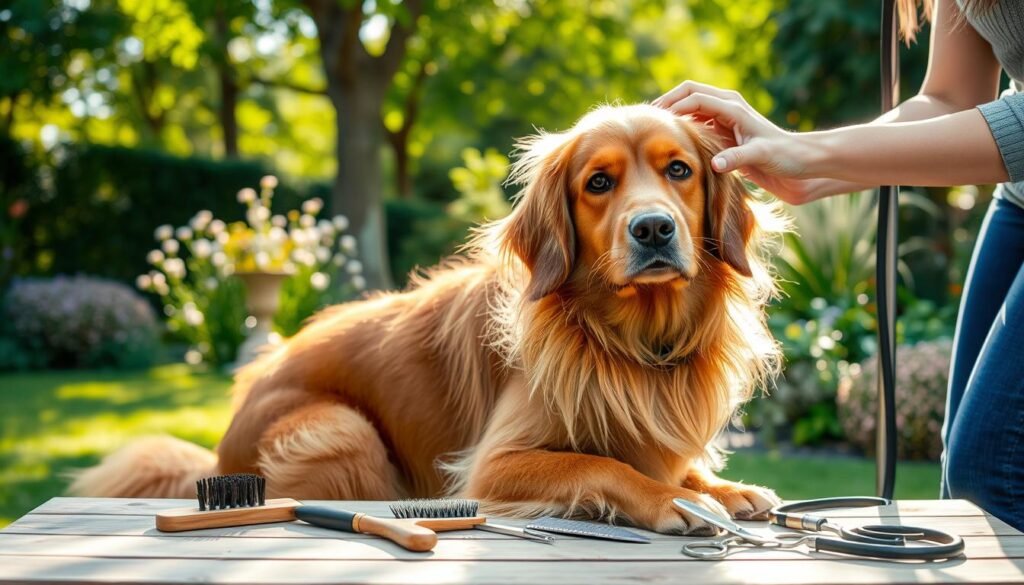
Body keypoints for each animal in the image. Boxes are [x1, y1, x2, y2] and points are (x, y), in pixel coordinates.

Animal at [72, 105, 778, 536]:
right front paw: (672, 500)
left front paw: (722, 487)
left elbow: (664, 460)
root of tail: (220, 445)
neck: (627, 338)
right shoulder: (493, 465)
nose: (653, 227)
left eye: (679, 170)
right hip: (339, 429)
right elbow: (606, 467)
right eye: (598, 183)